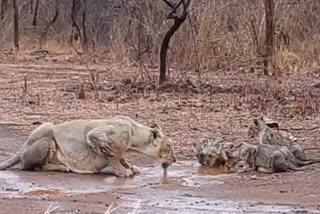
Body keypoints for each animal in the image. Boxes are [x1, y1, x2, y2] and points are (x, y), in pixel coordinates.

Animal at [0, 115, 176, 177]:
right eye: (169, 146)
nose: (175, 159)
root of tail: (21, 149)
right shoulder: (96, 132)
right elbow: (111, 155)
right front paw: (123, 172)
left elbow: (122, 158)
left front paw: (131, 167)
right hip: (47, 131)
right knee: (31, 166)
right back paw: (64, 167)